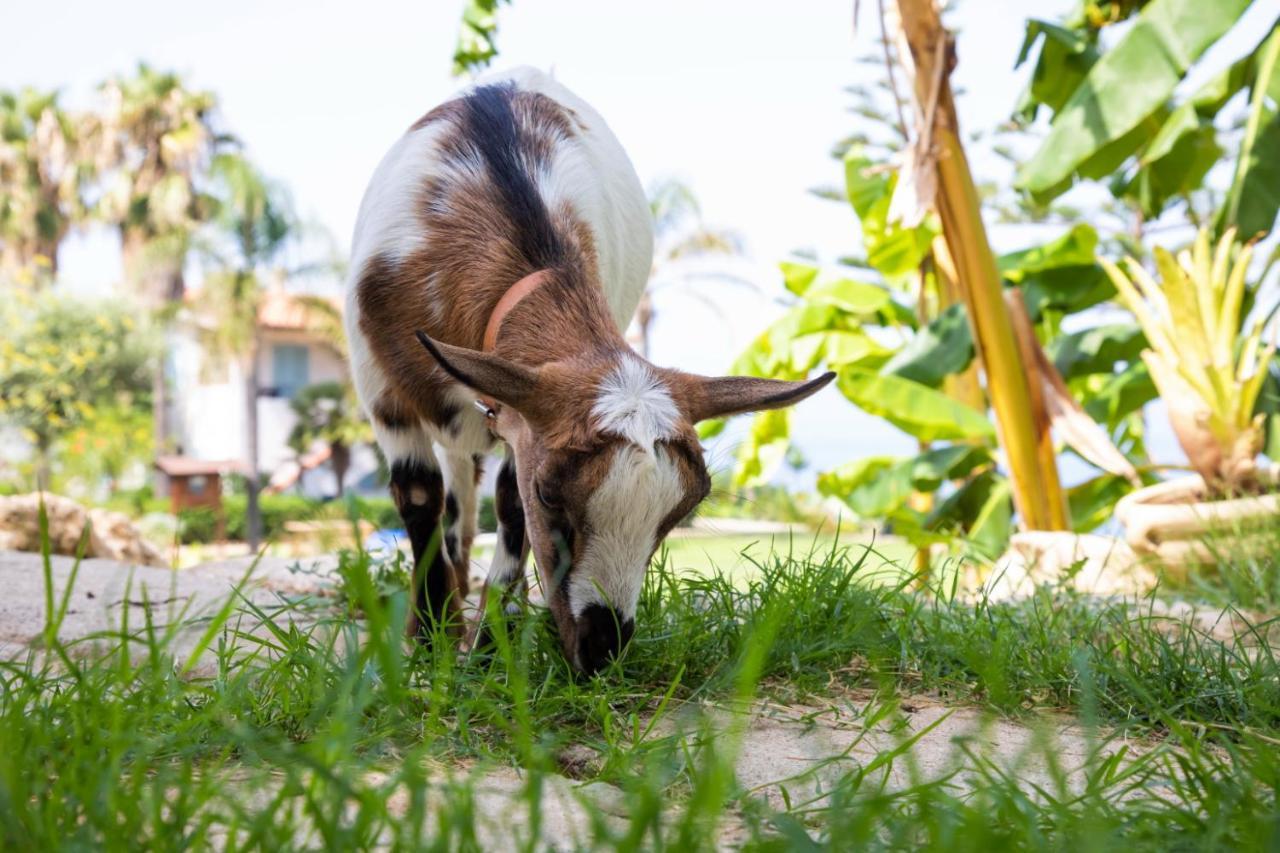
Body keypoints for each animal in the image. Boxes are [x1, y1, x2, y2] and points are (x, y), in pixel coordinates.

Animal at [345, 68, 834, 671]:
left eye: (682, 511)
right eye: (551, 495)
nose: (602, 648)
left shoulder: (519, 420)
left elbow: (508, 508)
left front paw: (491, 644)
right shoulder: (382, 393)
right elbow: (418, 498)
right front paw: (431, 643)